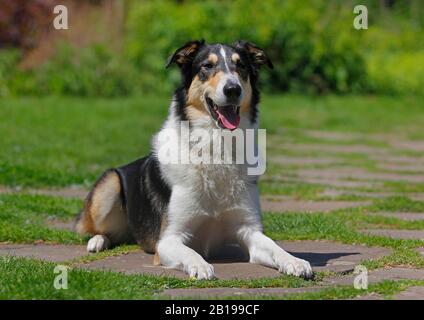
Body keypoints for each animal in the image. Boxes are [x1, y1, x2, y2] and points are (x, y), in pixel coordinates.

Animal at [74, 39, 314, 280]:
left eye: (241, 66)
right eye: (207, 66)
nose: (232, 89)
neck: (215, 148)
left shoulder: (249, 230)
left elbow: (274, 246)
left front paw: (295, 261)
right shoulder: (168, 239)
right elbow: (190, 252)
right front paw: (201, 266)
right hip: (110, 184)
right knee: (96, 229)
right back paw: (97, 241)